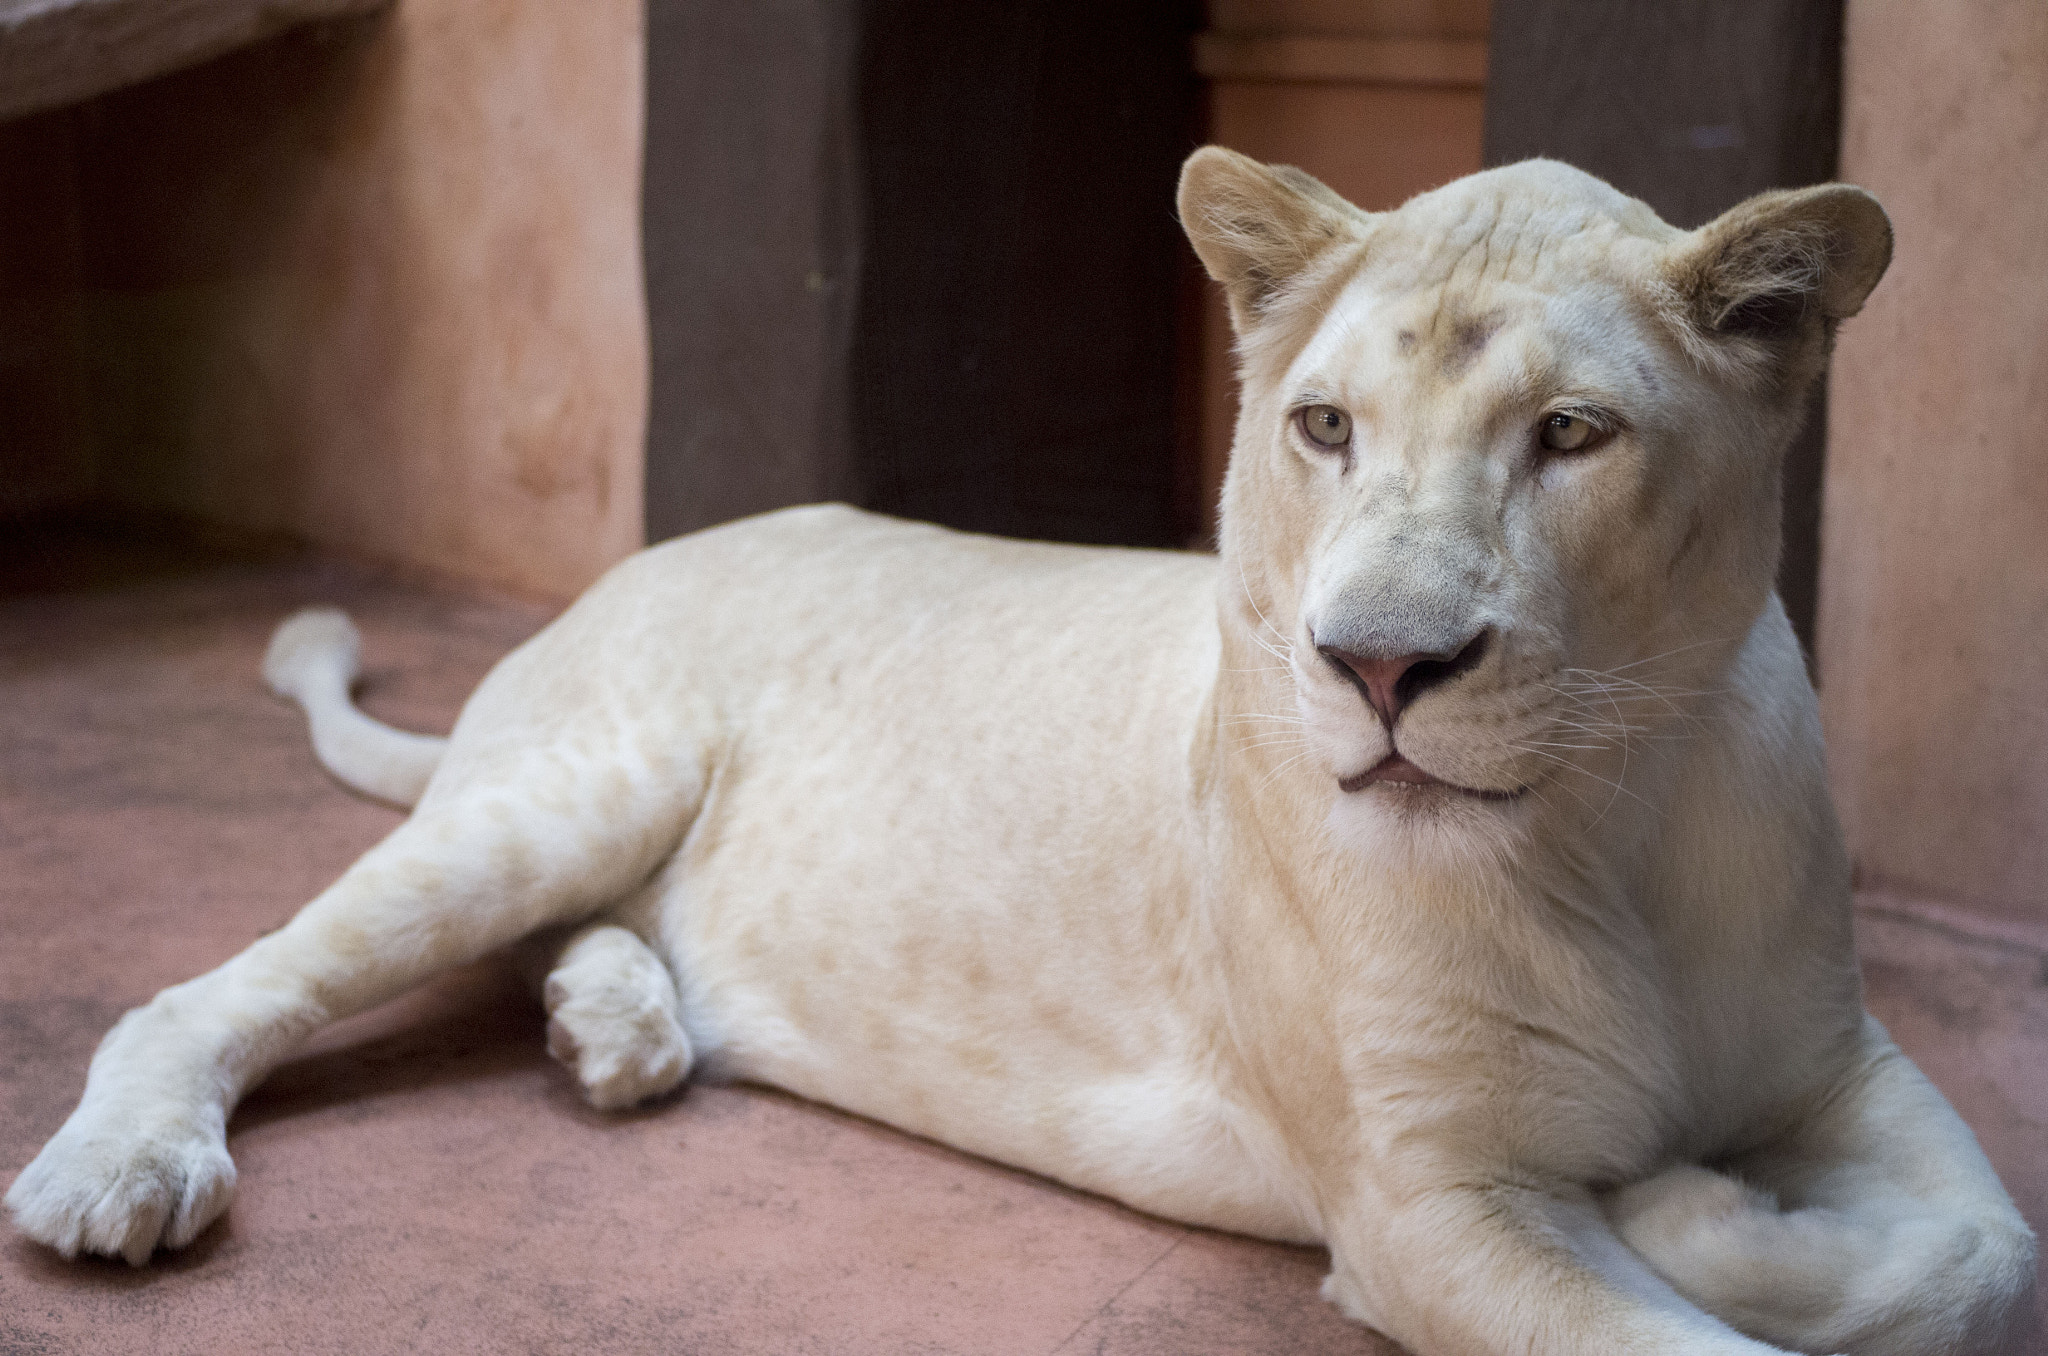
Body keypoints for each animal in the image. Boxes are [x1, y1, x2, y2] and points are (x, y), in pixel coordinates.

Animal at [12, 151, 2031, 1356]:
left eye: (1571, 433)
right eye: (1323, 427)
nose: (1379, 667)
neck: (1614, 820)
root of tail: (634, 563)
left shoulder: (1841, 1063)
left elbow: (1982, 1256)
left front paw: (1704, 1195)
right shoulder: (1419, 1206)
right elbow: (1685, 1327)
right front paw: (1681, 1203)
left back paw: (618, 1025)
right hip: (561, 795)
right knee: (216, 990)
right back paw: (122, 1175)